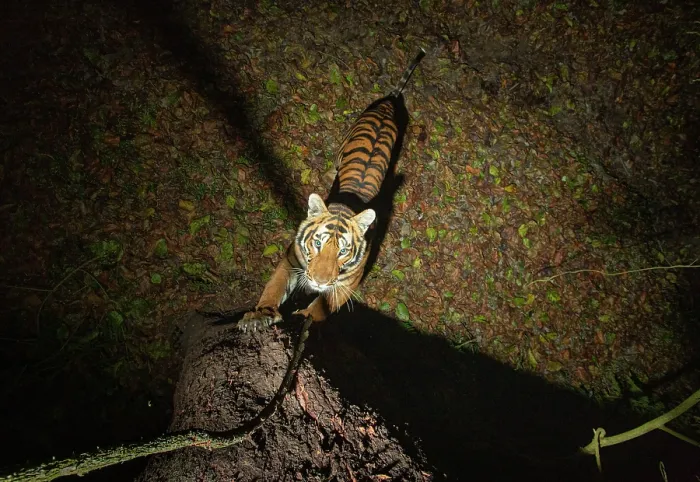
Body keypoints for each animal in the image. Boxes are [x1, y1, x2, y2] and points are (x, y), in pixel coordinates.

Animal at [239, 48, 426, 331]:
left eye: (343, 251)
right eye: (317, 243)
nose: (319, 282)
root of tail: (388, 103)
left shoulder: (346, 286)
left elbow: (318, 310)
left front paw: (304, 319)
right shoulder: (291, 260)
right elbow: (274, 287)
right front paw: (259, 315)